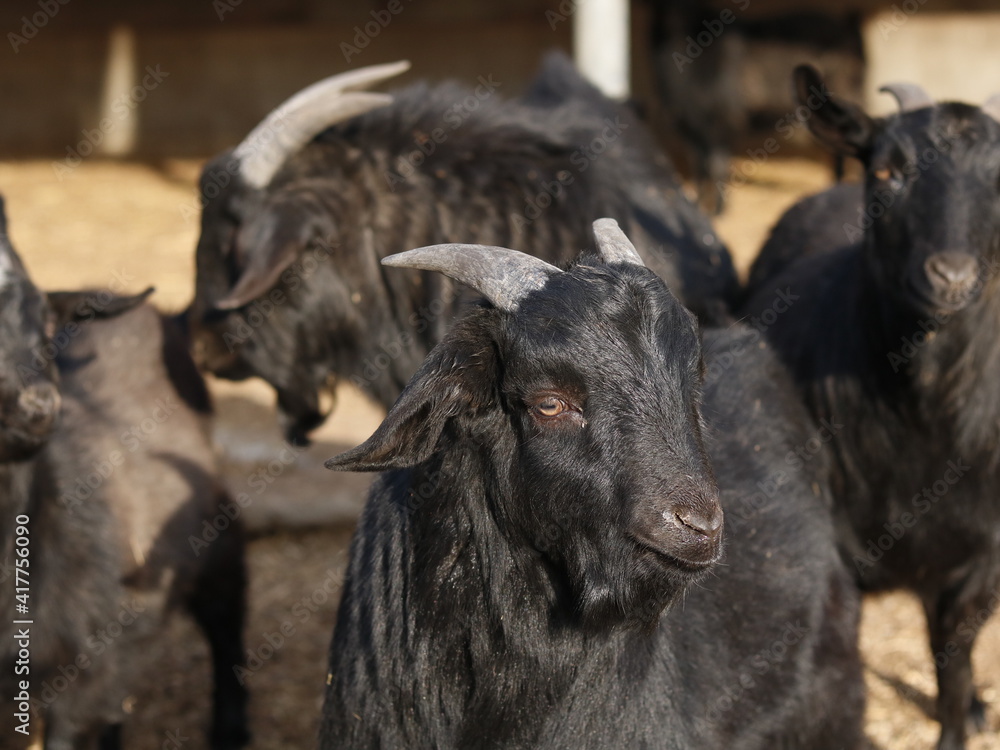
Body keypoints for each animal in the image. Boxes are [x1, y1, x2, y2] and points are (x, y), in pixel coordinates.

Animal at [743, 65, 1000, 750]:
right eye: (887, 170)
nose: (950, 277)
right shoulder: (835, 551)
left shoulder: (981, 559)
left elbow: (953, 659)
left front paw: (958, 722)